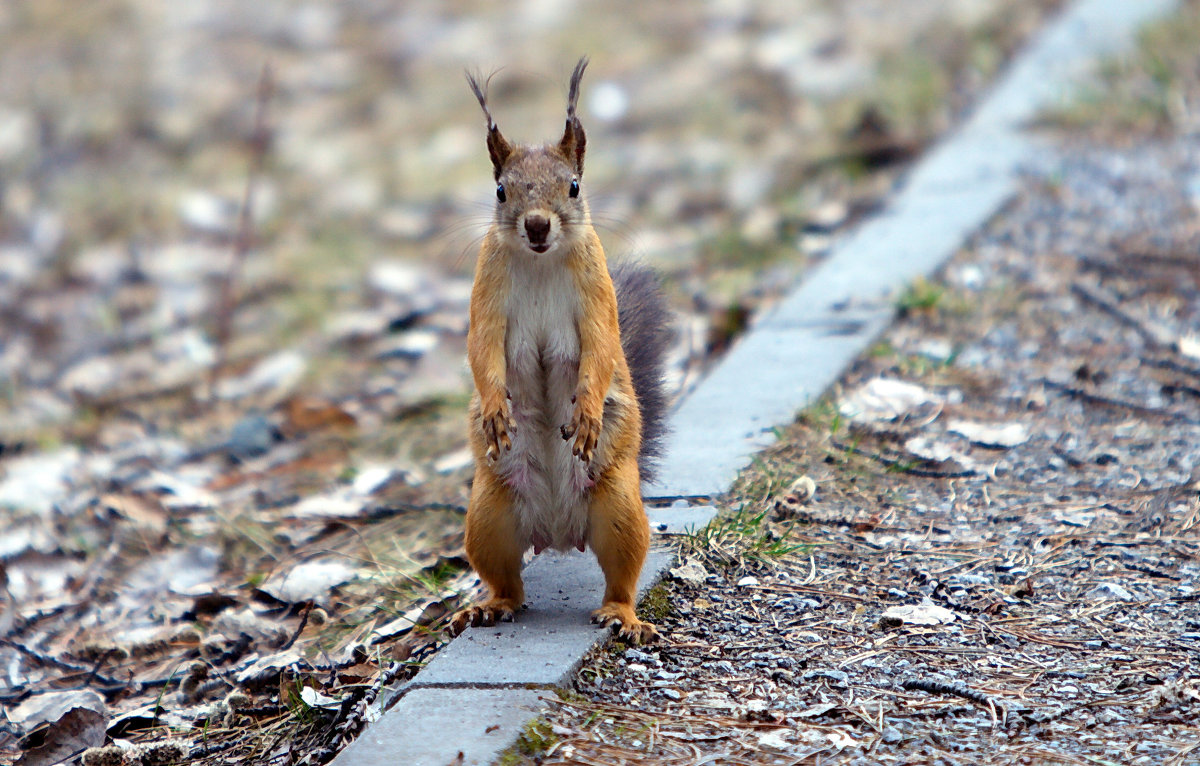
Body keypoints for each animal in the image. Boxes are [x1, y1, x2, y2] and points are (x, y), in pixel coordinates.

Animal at [451, 57, 672, 643]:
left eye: (573, 186)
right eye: (501, 191)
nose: (536, 224)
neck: (541, 260)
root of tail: (555, 533)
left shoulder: (597, 297)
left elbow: (600, 349)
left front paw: (588, 413)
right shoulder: (487, 296)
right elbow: (482, 350)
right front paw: (496, 410)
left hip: (619, 509)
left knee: (622, 574)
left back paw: (623, 616)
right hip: (488, 516)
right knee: (508, 582)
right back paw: (488, 606)